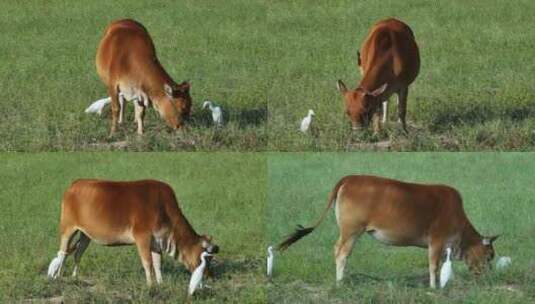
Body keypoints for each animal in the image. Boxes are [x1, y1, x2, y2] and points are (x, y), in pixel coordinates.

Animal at [47, 178, 219, 284]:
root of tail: (75, 184)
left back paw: (74, 276)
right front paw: (150, 285)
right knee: (62, 253)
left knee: (77, 253)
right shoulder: (142, 236)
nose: (210, 277)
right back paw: (58, 276)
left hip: (85, 235)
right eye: (206, 258)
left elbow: (158, 264)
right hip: (67, 229)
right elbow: (147, 262)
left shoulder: (156, 242)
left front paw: (160, 283)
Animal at [278, 175, 500, 288]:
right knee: (341, 252)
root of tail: (349, 178)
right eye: (489, 255)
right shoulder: (436, 241)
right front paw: (433, 287)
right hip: (352, 230)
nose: (487, 276)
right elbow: (433, 266)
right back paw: (340, 282)